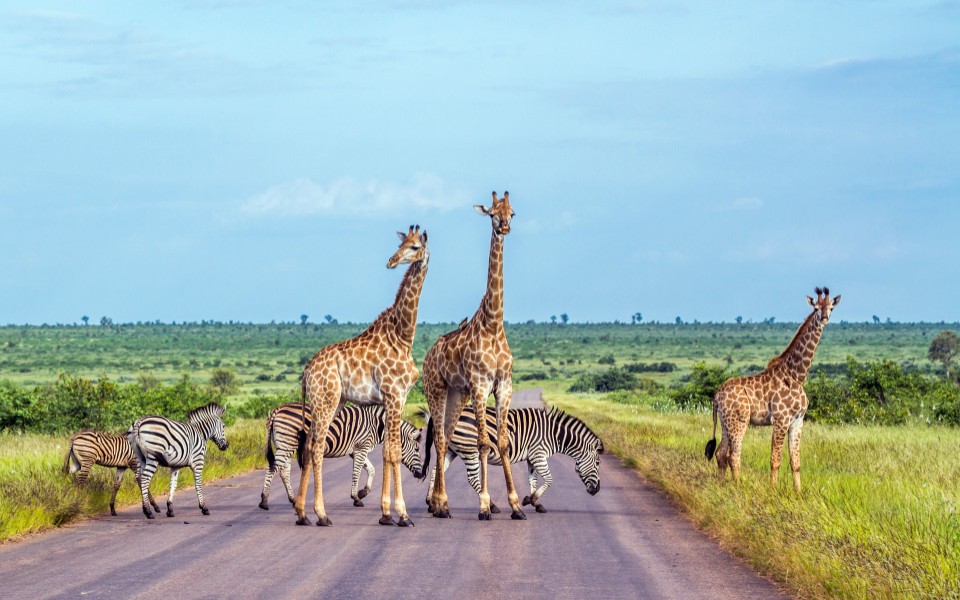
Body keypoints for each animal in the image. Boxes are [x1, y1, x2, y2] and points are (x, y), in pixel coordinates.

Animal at [259, 403, 424, 510]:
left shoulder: (356, 450)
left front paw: (362, 493)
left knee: (283, 472)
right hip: (287, 442)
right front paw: (356, 498)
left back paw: (293, 499)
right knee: (272, 469)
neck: (377, 426)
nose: (421, 474)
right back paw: (264, 501)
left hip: (284, 444)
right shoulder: (361, 447)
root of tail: (277, 410)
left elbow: (371, 470)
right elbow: (357, 472)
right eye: (417, 449)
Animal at [423, 406, 603, 513]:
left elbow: (533, 480)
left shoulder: (532, 457)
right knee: (472, 478)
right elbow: (549, 480)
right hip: (470, 449)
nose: (597, 490)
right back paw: (491, 505)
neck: (555, 434)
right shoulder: (538, 454)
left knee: (435, 470)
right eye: (598, 463)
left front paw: (534, 502)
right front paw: (531, 500)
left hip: (451, 450)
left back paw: (431, 503)